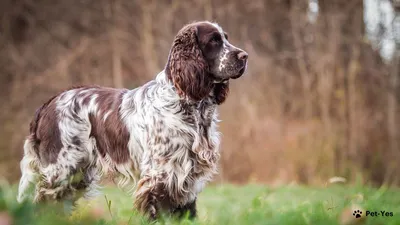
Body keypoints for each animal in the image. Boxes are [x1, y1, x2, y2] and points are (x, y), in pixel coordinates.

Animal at [17, 20, 248, 220]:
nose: (245, 56)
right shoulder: (161, 176)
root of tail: (48, 104)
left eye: (226, 38)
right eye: (214, 41)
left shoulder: (187, 178)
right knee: (42, 203)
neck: (189, 105)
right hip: (60, 170)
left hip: (76, 175)